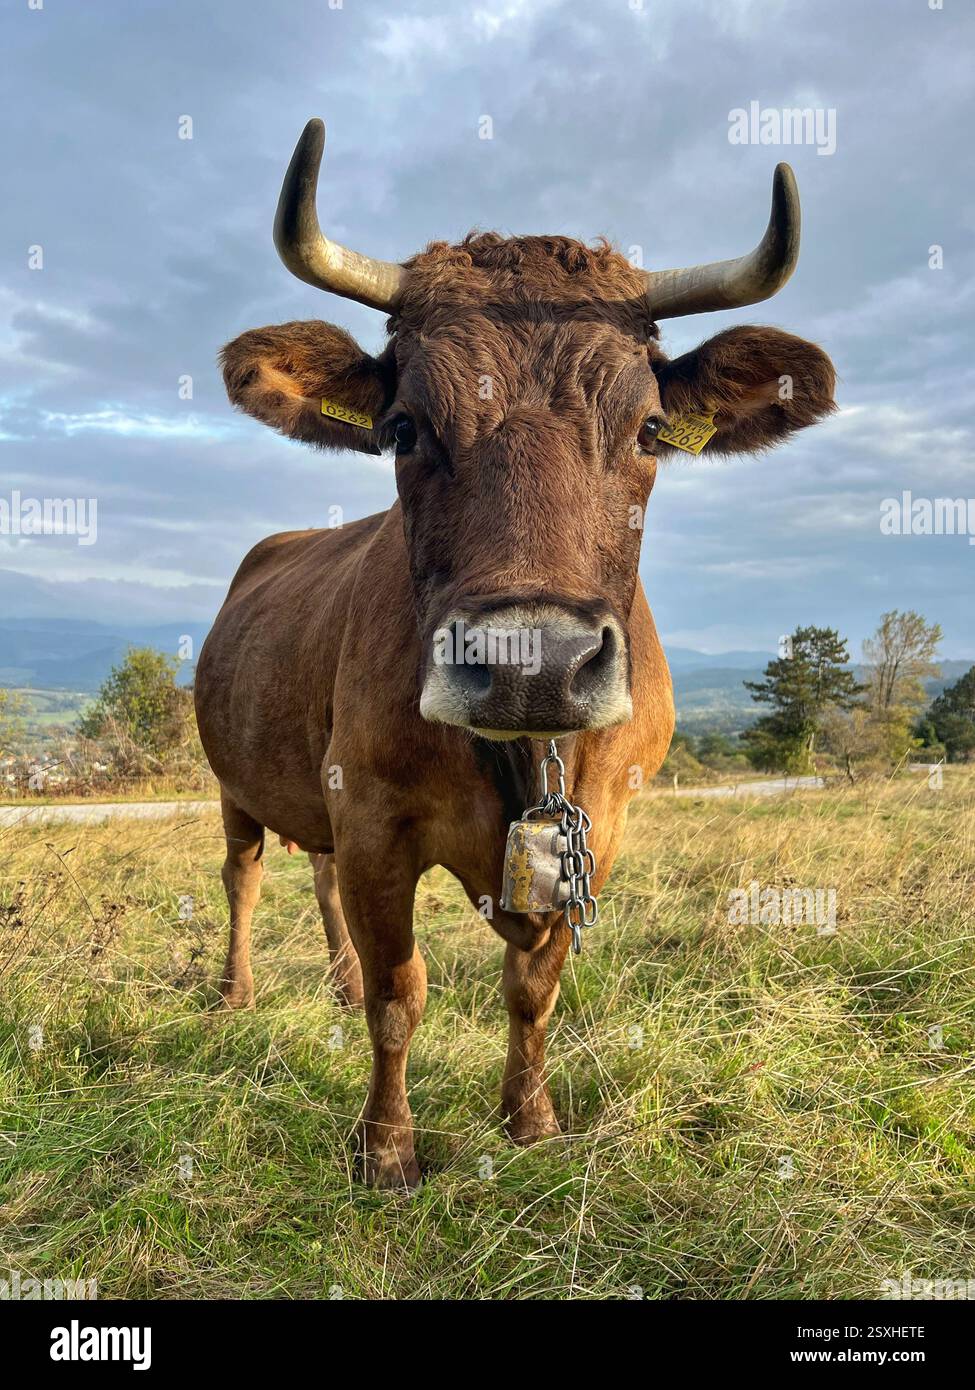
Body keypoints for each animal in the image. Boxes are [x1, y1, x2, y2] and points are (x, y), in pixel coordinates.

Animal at [195, 119, 836, 1188]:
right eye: (403, 428)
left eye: (649, 429)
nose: (533, 662)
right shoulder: (371, 817)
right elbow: (400, 994)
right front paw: (386, 1149)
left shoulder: (597, 826)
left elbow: (533, 986)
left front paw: (528, 1121)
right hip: (235, 783)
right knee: (244, 877)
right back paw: (237, 993)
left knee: (312, 877)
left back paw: (330, 982)